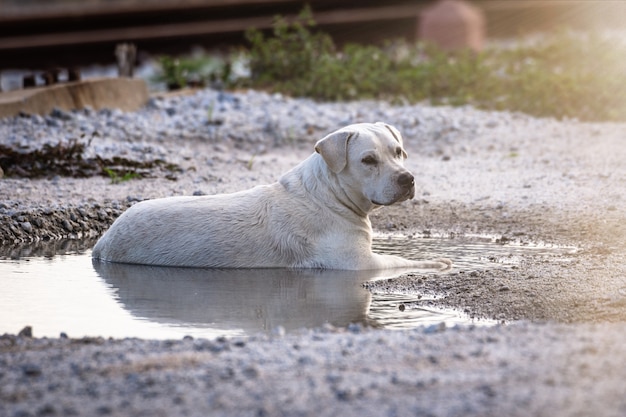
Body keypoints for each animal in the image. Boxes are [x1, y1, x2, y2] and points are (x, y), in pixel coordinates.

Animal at [91, 122, 448, 270]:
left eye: (398, 151)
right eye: (368, 160)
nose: (408, 179)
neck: (328, 194)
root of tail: (102, 242)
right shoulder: (358, 263)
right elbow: (401, 261)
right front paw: (439, 261)